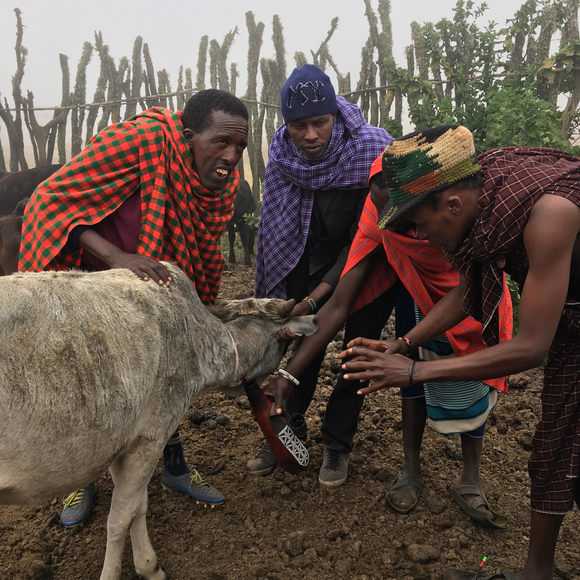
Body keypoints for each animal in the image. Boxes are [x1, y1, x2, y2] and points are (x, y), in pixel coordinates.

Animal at [0, 264, 318, 580]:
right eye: (284, 342)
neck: (198, 340)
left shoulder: (123, 445)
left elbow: (138, 507)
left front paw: (149, 566)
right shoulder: (151, 437)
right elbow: (120, 518)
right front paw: (131, 568)